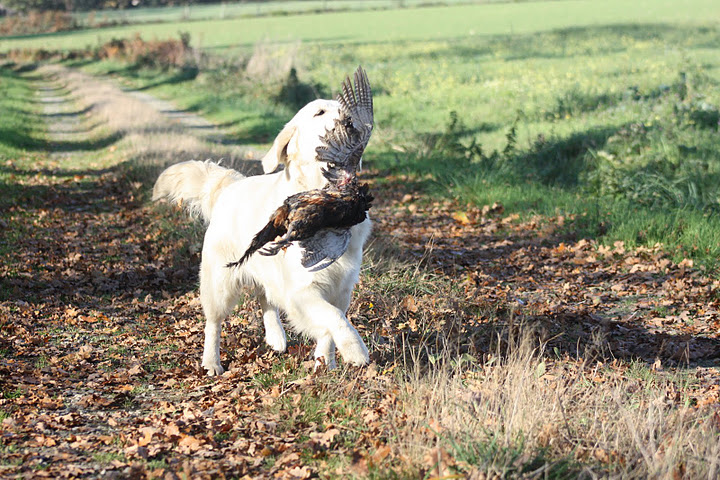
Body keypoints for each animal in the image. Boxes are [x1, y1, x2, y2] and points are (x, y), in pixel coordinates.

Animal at [155, 98, 374, 376]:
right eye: (320, 112)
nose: (349, 121)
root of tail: (229, 187)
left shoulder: (341, 287)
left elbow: (333, 321)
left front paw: (325, 362)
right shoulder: (301, 291)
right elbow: (334, 318)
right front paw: (355, 350)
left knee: (265, 296)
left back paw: (276, 336)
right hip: (219, 284)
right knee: (213, 323)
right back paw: (211, 362)